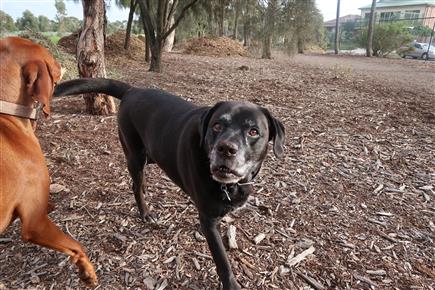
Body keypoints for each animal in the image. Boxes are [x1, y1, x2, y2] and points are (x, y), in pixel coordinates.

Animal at [53, 78, 286, 288]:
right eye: (217, 126)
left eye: (253, 131)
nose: (225, 148)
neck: (230, 184)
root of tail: (133, 90)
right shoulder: (209, 220)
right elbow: (222, 260)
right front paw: (231, 284)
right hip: (135, 154)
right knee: (135, 185)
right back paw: (145, 212)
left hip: (150, 154)